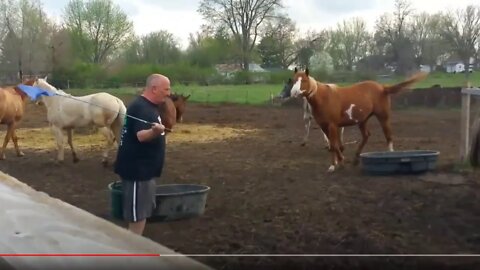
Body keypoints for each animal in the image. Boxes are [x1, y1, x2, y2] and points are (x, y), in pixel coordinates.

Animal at [288, 68, 428, 173]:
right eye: (294, 80)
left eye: (304, 80)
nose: (293, 92)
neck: (323, 98)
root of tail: (383, 87)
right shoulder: (324, 126)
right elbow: (333, 145)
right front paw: (337, 163)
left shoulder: (332, 125)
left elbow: (334, 145)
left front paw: (338, 163)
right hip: (362, 120)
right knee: (366, 136)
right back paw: (355, 160)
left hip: (383, 117)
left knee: (388, 136)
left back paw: (390, 156)